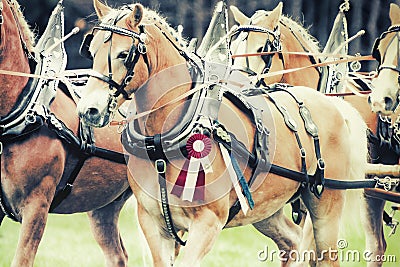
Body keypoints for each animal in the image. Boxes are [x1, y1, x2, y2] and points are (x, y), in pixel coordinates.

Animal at [76, 1, 368, 266]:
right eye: (92, 50)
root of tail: (333, 105)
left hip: (326, 207)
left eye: (124, 54)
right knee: (292, 242)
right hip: (266, 209)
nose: (88, 109)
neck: (164, 144)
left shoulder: (208, 222)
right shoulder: (153, 223)